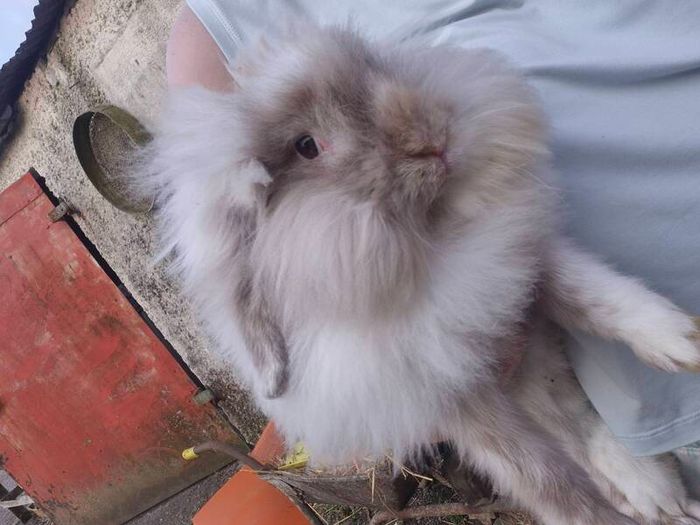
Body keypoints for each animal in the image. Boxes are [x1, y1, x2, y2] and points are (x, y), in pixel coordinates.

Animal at [144, 22, 700, 525]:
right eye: (307, 146)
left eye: (371, 66)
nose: (430, 138)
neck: (429, 249)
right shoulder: (460, 403)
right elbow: (546, 480)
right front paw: (597, 519)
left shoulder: (520, 264)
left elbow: (597, 297)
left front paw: (683, 344)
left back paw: (658, 493)